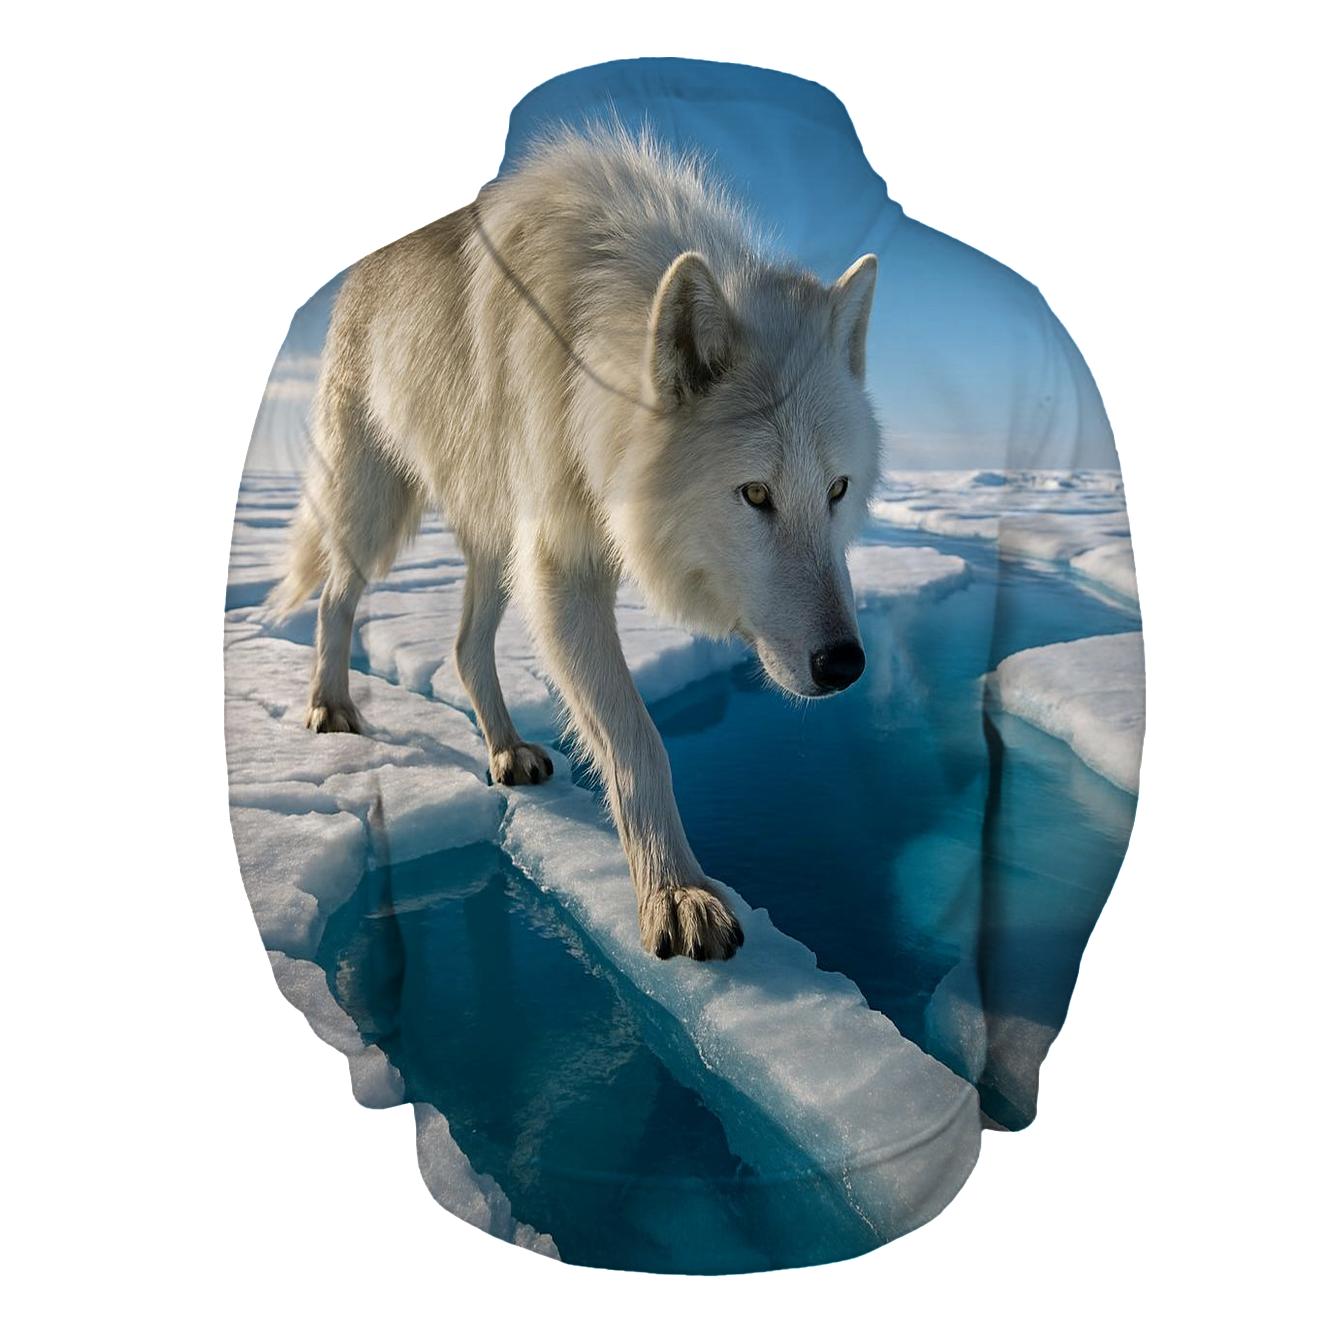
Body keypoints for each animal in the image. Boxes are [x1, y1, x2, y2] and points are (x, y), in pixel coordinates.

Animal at [270, 127, 881, 961]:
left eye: (837, 490)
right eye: (756, 494)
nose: (845, 663)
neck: (588, 349)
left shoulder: (557, 554)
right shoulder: (562, 564)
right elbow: (636, 739)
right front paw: (675, 892)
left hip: (494, 542)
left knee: (465, 646)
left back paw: (504, 747)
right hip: (375, 510)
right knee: (336, 597)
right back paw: (330, 705)